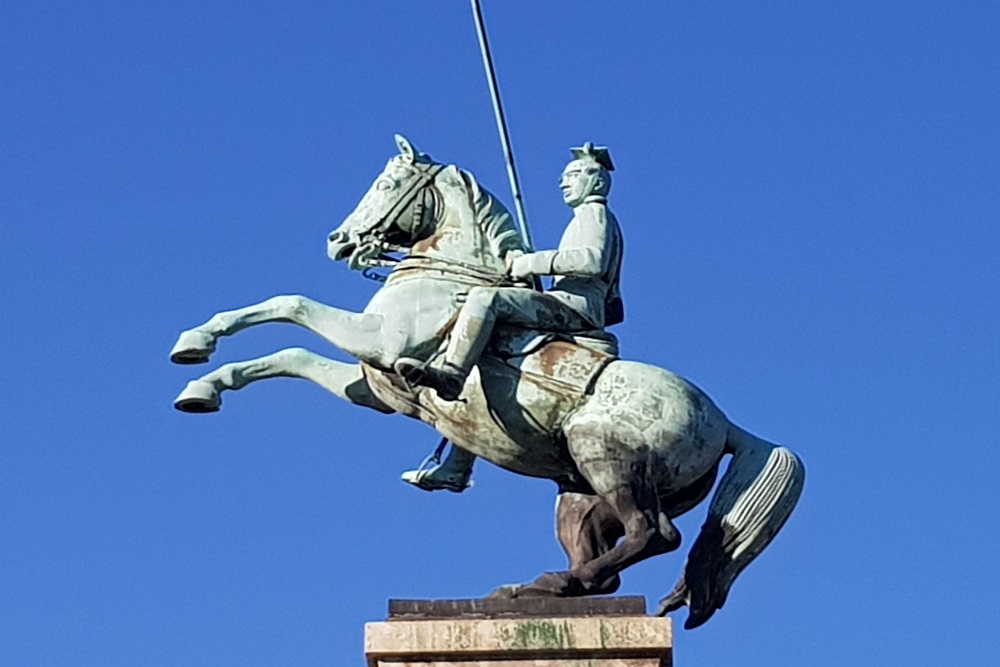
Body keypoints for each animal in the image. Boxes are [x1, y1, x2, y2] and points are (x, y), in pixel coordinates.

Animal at [170, 137, 804, 632]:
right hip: (580, 498)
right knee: (615, 555)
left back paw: (542, 585)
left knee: (656, 534)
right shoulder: (374, 384)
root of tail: (726, 423)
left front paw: (195, 343)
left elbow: (289, 304)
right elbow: (290, 351)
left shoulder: (380, 343)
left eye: (388, 182)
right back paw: (539, 588)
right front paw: (204, 384)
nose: (339, 241)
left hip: (605, 458)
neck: (448, 273)